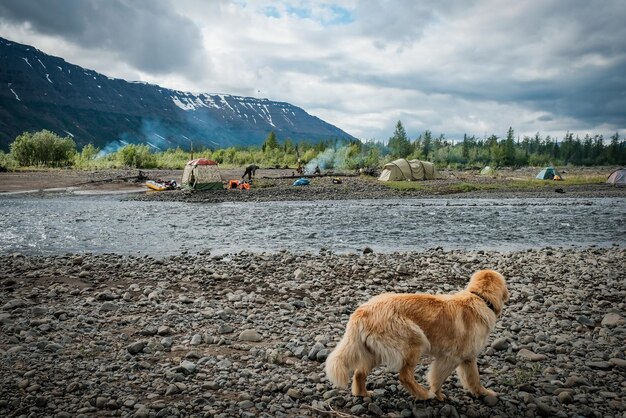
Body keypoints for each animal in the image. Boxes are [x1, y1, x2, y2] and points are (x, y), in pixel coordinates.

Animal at [322, 270, 508, 400]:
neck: (481, 298)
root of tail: (362, 311)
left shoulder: (468, 358)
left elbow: (474, 379)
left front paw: (483, 393)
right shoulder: (451, 358)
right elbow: (437, 378)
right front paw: (438, 395)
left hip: (375, 351)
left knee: (359, 372)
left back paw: (363, 394)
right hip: (415, 340)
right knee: (405, 376)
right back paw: (423, 395)